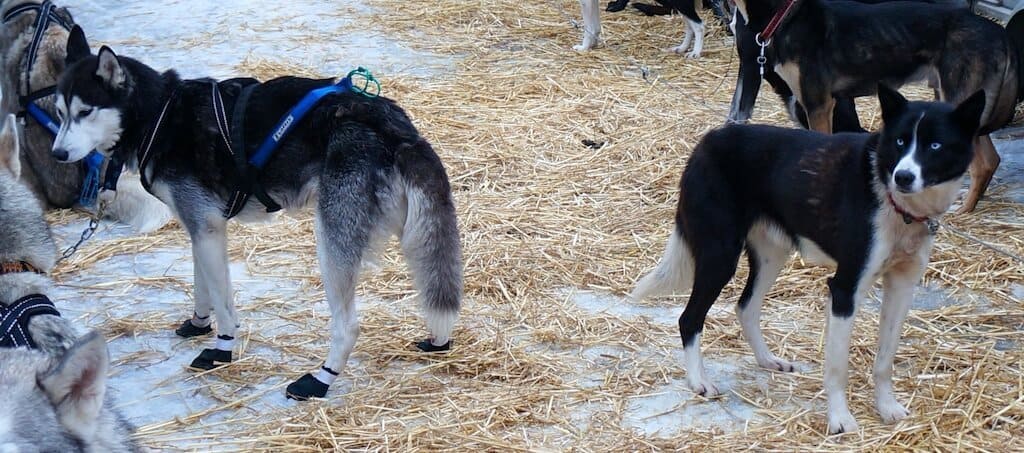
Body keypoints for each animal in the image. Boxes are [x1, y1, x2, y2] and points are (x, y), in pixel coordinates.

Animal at [48, 25, 464, 399]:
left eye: (85, 111)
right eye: (59, 111)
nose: (57, 154)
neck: (159, 116)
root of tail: (393, 126)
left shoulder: (207, 227)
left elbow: (224, 302)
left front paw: (222, 347)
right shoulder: (200, 227)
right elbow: (203, 286)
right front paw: (199, 322)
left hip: (332, 247)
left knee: (348, 327)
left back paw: (320, 379)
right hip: (416, 235)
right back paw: (438, 340)